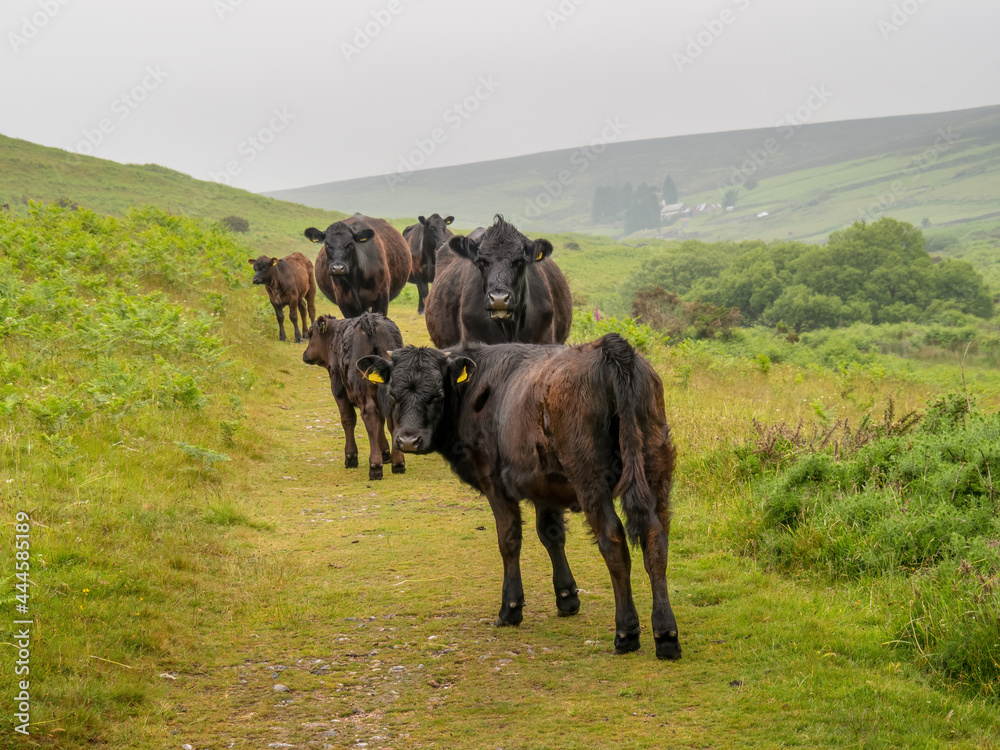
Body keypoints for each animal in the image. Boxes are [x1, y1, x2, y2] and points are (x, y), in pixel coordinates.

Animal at [302, 313, 405, 480]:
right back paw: (398, 462)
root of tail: (369, 319)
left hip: (361, 388)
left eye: (311, 334)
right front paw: (385, 453)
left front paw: (351, 456)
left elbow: (348, 419)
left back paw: (375, 466)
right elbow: (381, 421)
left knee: (369, 416)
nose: (305, 354)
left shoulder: (339, 390)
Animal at [357, 333, 681, 660]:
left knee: (613, 541)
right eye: (393, 394)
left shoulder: (495, 483)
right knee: (656, 540)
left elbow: (509, 540)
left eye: (436, 395)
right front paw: (567, 597)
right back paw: (666, 634)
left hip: (589, 477)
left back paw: (626, 632)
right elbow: (551, 535)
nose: (408, 440)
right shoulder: (545, 484)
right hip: (656, 467)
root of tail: (609, 347)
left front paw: (510, 608)